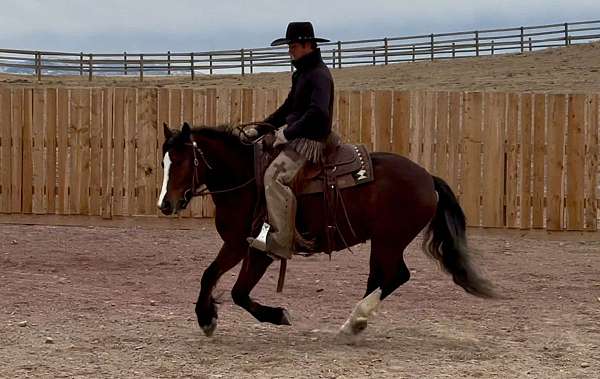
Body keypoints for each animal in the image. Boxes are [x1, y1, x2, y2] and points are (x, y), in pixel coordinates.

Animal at [157, 122, 494, 338]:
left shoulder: (259, 250)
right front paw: (206, 318)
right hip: (382, 242)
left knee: (396, 275)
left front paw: (277, 315)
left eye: (182, 161)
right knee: (380, 277)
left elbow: (239, 292)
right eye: (163, 163)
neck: (245, 180)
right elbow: (209, 275)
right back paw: (353, 324)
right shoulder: (237, 245)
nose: (165, 204)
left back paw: (355, 320)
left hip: (390, 240)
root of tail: (427, 178)